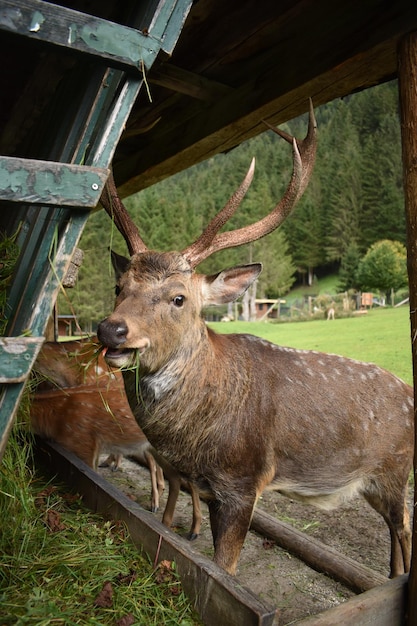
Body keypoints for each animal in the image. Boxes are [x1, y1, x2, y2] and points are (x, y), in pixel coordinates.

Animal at [96, 102, 412, 576]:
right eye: (119, 287)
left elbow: (224, 569)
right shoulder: (205, 484)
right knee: (396, 527)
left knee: (405, 524)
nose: (111, 329)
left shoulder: (244, 481)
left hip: (396, 469)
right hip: (374, 484)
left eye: (178, 298)